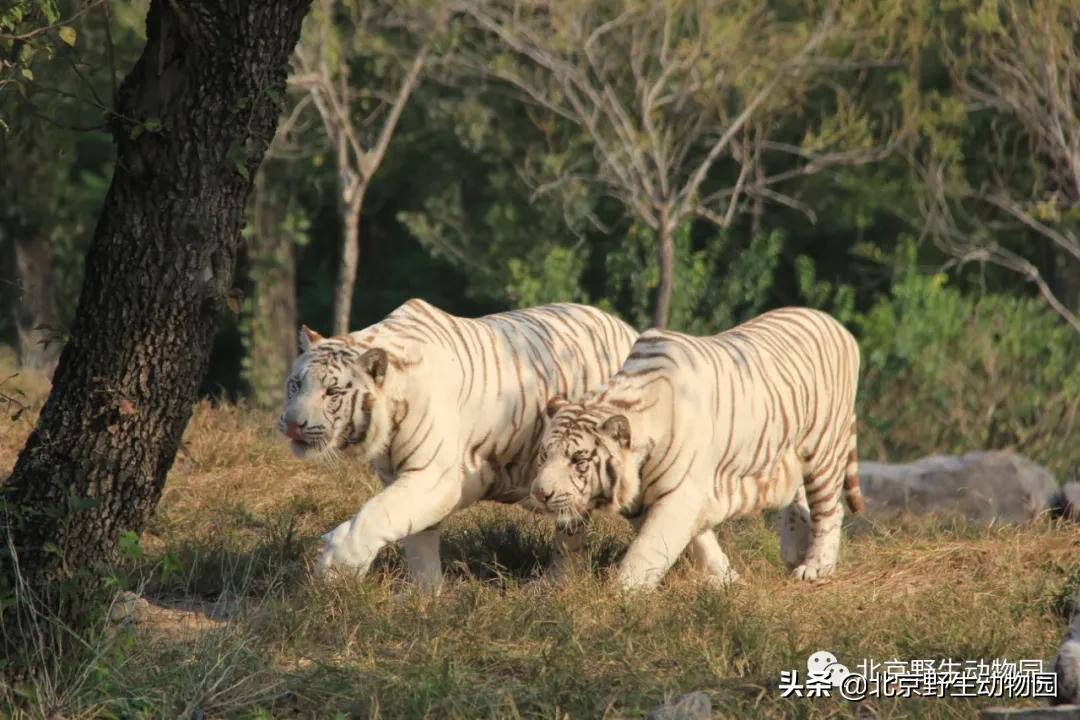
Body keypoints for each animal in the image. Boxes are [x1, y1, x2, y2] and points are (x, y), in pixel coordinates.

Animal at [274, 297, 639, 587]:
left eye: (332, 392)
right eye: (295, 384)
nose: (292, 424)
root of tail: (630, 331)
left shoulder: (435, 479)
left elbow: (375, 515)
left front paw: (334, 570)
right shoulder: (404, 478)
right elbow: (415, 535)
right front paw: (426, 596)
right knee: (571, 532)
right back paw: (557, 585)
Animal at [527, 306, 864, 595]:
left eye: (578, 459)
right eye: (544, 455)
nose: (540, 493)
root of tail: (837, 325)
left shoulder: (681, 494)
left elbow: (646, 549)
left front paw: (621, 594)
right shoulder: (659, 499)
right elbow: (698, 543)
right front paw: (726, 577)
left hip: (824, 450)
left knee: (830, 509)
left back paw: (815, 567)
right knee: (799, 499)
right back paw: (794, 552)